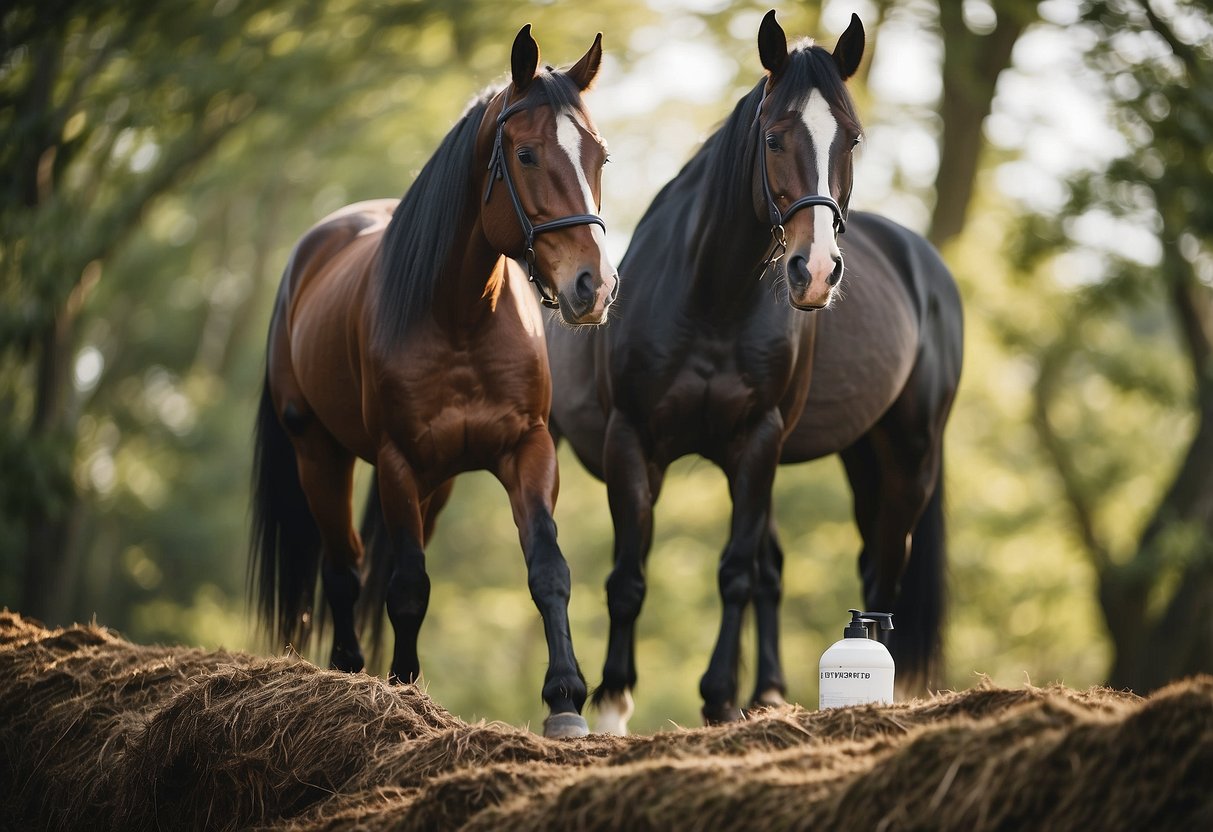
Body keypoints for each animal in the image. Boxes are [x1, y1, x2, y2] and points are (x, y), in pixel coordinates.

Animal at [253, 26, 616, 742]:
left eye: (600, 156)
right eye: (526, 154)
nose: (593, 287)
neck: (461, 316)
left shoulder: (527, 450)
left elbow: (547, 568)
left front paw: (565, 699)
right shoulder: (397, 459)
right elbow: (408, 586)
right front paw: (402, 691)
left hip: (438, 481)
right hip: (321, 455)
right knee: (345, 567)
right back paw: (350, 671)